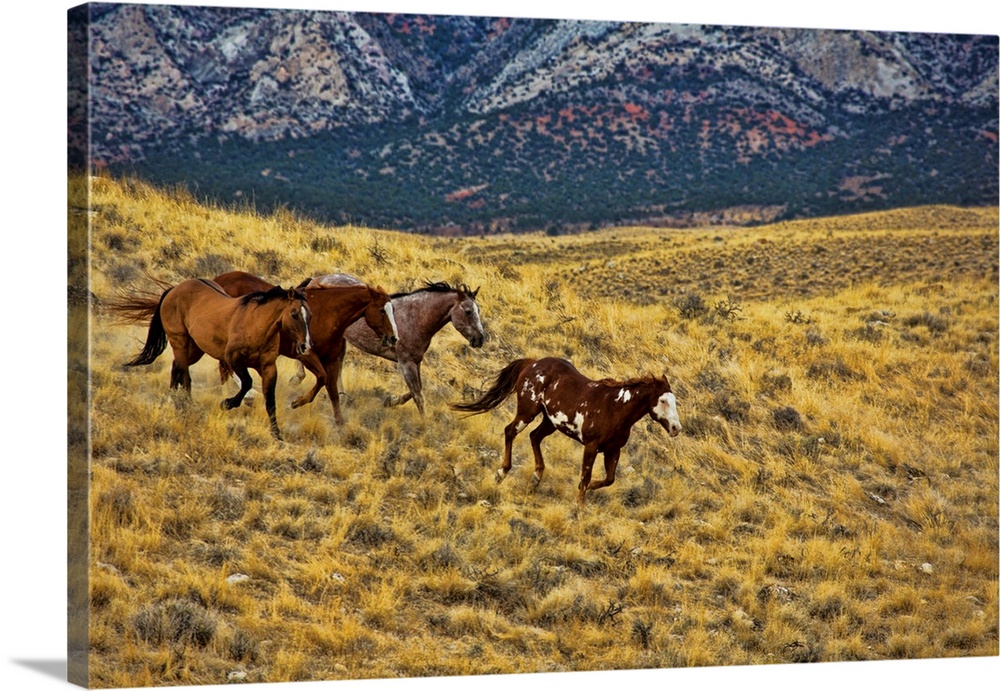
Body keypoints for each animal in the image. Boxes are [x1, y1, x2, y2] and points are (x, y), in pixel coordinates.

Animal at [124, 278, 312, 440]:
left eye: (309, 315)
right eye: (294, 314)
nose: (306, 346)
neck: (255, 324)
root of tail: (173, 289)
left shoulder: (268, 367)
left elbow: (270, 401)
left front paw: (276, 434)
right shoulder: (233, 359)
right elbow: (247, 382)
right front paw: (227, 403)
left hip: (195, 348)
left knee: (176, 367)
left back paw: (174, 400)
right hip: (180, 342)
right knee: (185, 376)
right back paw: (186, 406)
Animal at [294, 274, 486, 416]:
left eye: (478, 310)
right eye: (468, 311)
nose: (480, 339)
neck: (415, 317)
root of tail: (314, 279)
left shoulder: (415, 361)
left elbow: (416, 390)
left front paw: (390, 401)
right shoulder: (406, 363)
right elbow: (418, 395)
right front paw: (425, 422)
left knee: (338, 365)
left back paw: (343, 397)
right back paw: (297, 379)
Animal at [452, 360, 680, 506]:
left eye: (674, 400)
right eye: (663, 400)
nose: (676, 428)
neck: (615, 408)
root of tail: (533, 363)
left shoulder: (612, 450)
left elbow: (609, 479)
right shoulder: (591, 446)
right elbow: (586, 476)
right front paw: (579, 506)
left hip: (550, 421)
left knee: (534, 437)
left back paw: (536, 478)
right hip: (528, 411)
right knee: (510, 431)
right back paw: (502, 473)